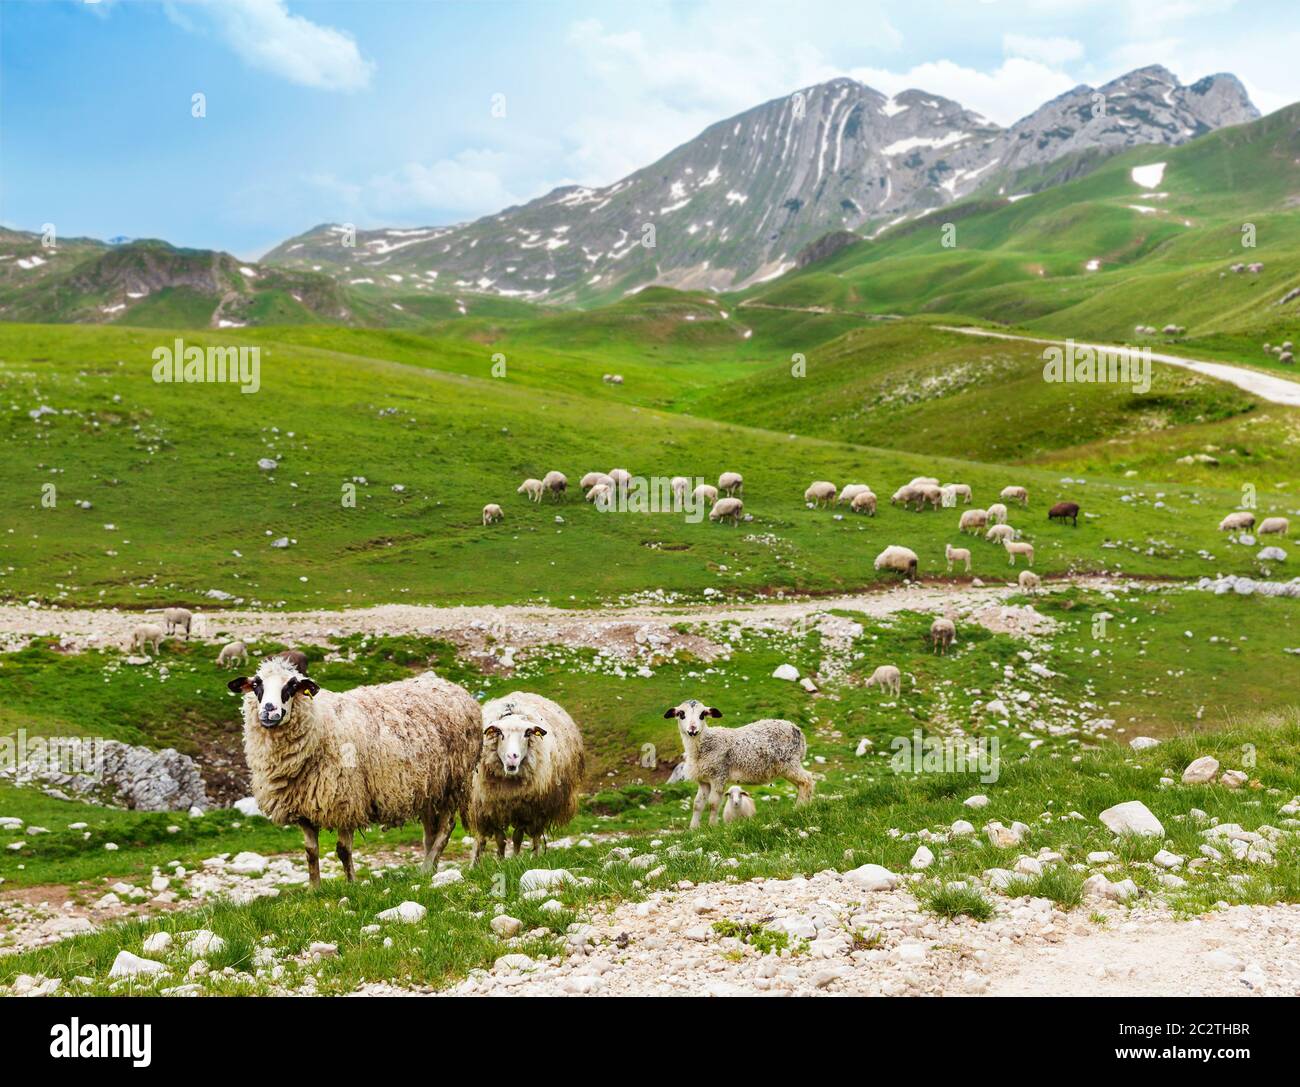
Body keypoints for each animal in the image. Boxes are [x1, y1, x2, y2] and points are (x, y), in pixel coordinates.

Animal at [229, 657, 481, 887]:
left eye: (291, 686)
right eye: (256, 684)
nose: (269, 711)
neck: (320, 724)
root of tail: (455, 688)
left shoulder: (346, 799)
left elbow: (342, 850)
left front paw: (351, 885)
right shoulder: (304, 806)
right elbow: (310, 851)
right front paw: (314, 889)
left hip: (454, 782)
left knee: (445, 829)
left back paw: (428, 867)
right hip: (428, 787)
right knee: (430, 832)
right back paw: (427, 870)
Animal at [466, 692, 586, 865]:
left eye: (527, 733)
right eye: (500, 734)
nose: (512, 757)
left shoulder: (525, 809)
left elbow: (517, 837)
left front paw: (515, 859)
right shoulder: (491, 807)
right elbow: (500, 839)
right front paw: (500, 860)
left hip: (540, 809)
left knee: (536, 836)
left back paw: (535, 857)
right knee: (482, 838)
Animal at [663, 700, 814, 829]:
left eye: (702, 715)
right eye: (681, 714)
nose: (693, 730)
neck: (702, 746)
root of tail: (798, 730)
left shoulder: (719, 775)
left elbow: (713, 804)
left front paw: (712, 826)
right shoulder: (703, 781)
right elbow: (697, 804)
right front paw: (693, 829)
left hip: (790, 763)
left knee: (807, 780)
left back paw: (799, 809)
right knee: (802, 785)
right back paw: (805, 806)